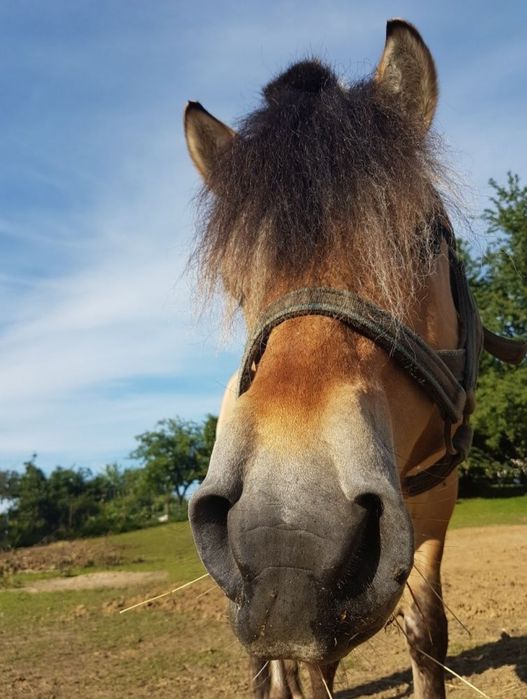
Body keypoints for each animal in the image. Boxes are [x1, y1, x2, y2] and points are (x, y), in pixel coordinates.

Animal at [184, 17, 524, 699]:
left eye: (426, 240)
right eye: (236, 284)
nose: (288, 542)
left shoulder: (434, 507)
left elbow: (426, 631)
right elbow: (311, 665)